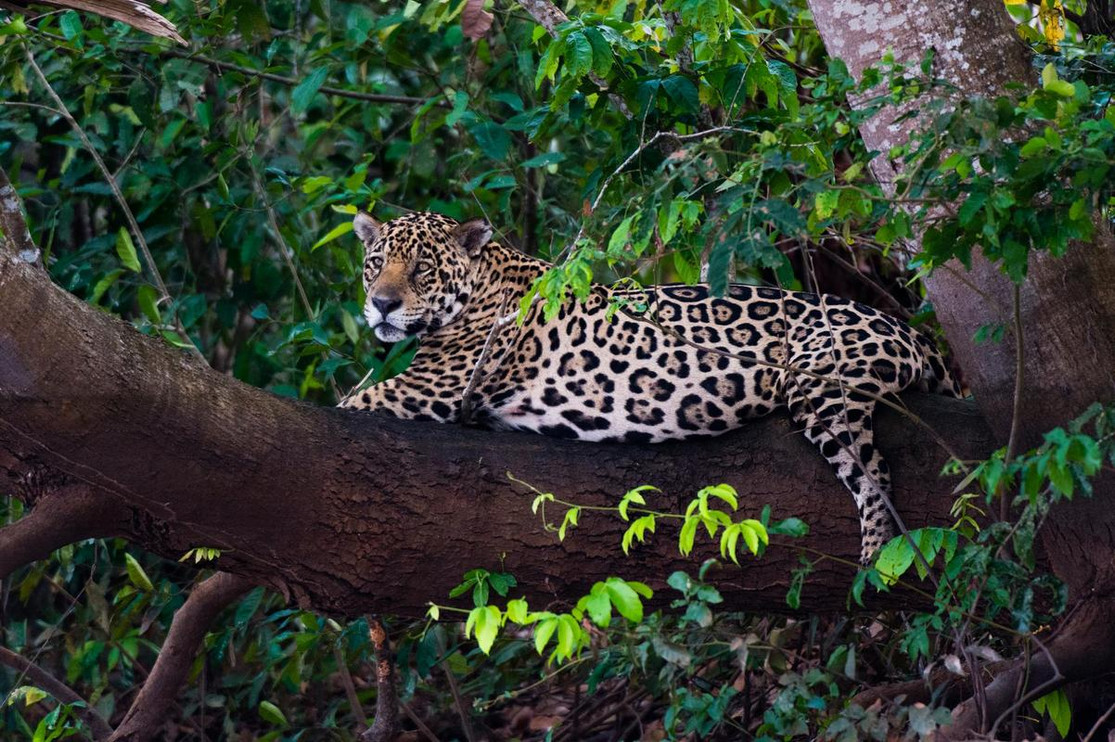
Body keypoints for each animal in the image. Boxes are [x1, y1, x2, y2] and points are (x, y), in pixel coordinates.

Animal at [339, 210, 962, 562]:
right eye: (374, 263)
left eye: (421, 268)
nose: (382, 305)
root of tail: (908, 327)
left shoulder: (430, 388)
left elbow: (350, 400)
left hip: (820, 387)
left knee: (875, 475)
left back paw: (874, 558)